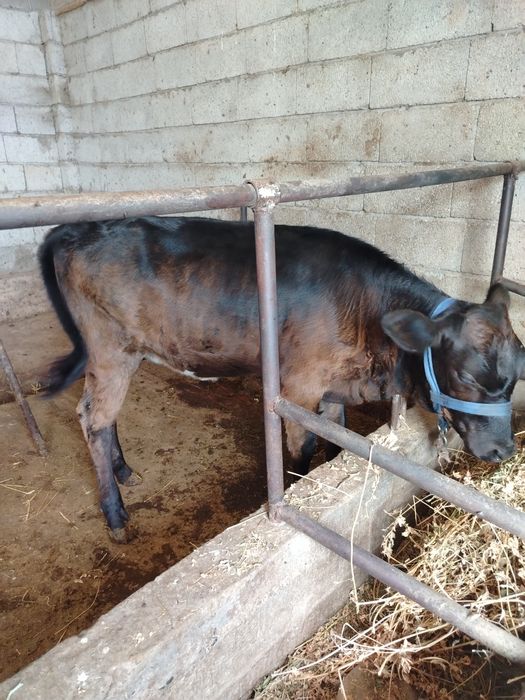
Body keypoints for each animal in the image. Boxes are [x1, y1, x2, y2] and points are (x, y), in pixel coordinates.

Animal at [38, 216, 525, 541]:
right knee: (92, 420)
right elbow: (305, 446)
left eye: (517, 371)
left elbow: (336, 438)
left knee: (101, 416)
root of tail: (75, 228)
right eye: (465, 375)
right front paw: (296, 488)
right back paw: (116, 515)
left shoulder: (334, 385)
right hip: (110, 351)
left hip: (125, 354)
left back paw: (124, 470)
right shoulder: (298, 387)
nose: (504, 450)